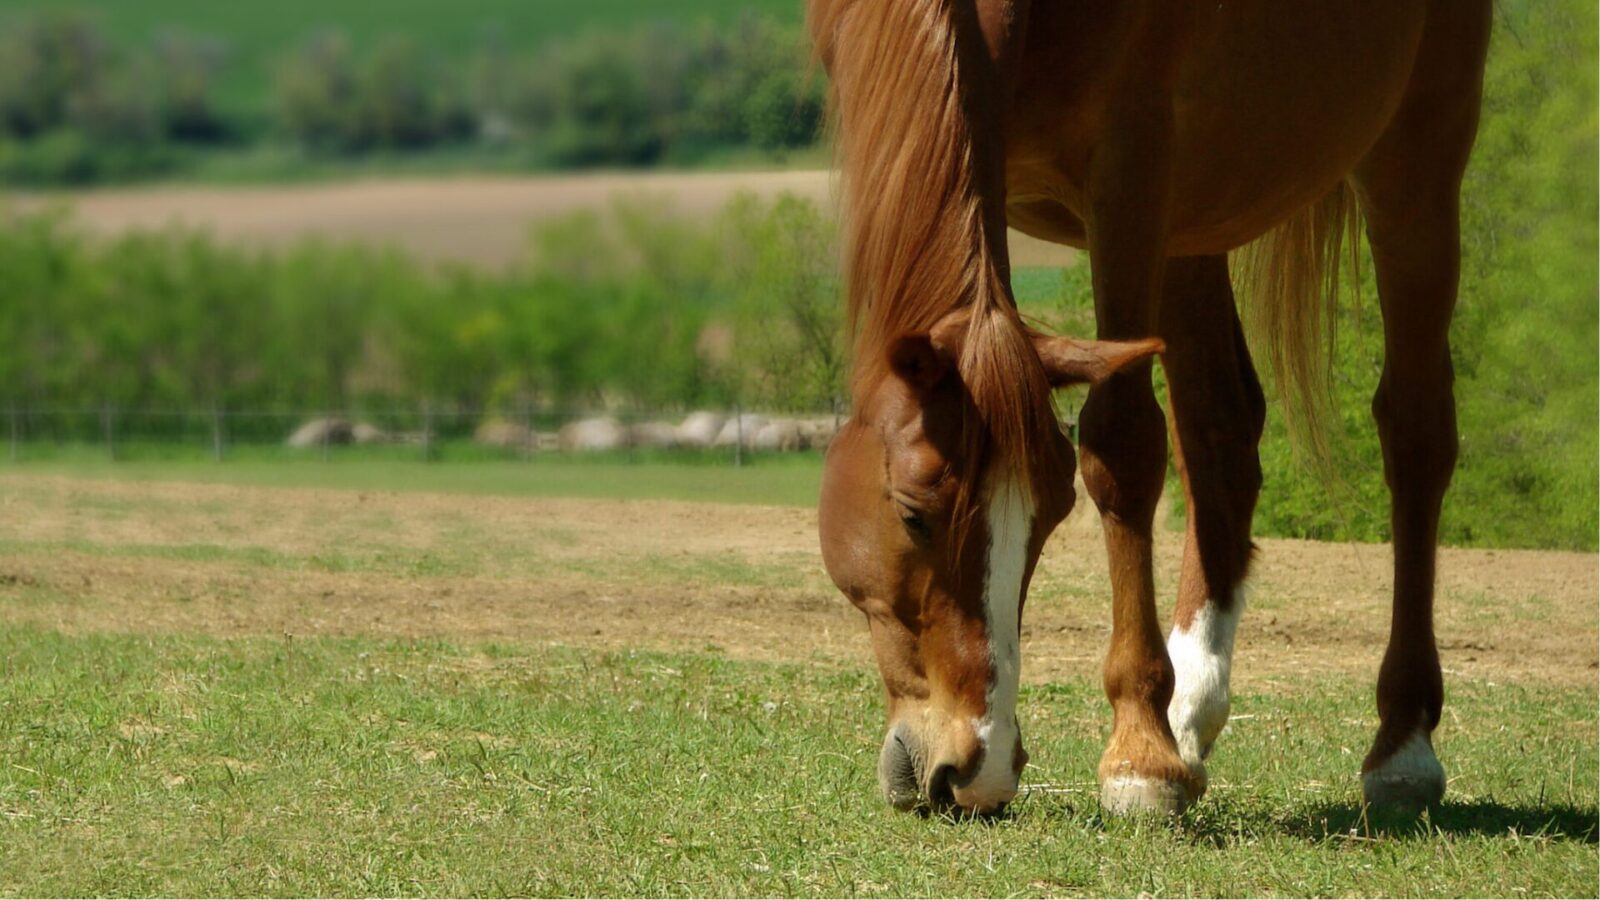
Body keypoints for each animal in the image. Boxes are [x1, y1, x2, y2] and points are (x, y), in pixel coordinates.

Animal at [809, 0, 1489, 817]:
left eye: (1051, 517)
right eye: (913, 516)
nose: (975, 772)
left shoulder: (1130, 170)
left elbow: (1123, 443)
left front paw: (1138, 756)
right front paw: (1159, 732)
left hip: (1415, 159)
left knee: (1415, 432)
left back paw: (1401, 747)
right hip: (1194, 218)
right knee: (1223, 429)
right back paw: (1191, 707)